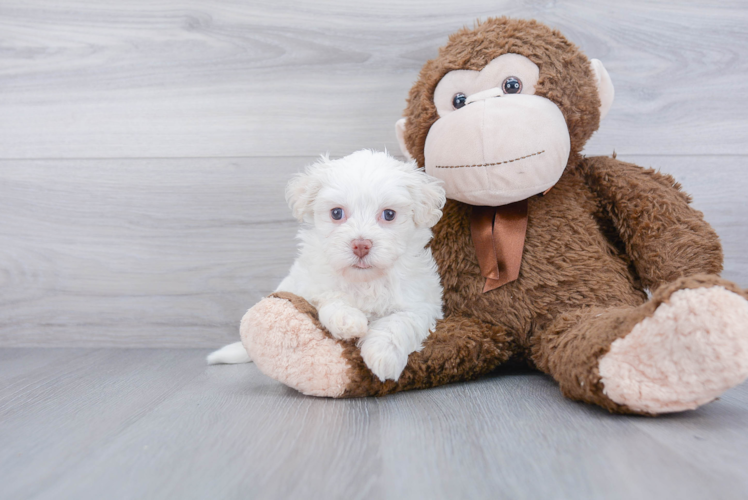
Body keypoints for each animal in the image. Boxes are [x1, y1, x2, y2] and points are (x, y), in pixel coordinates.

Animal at [206, 150, 444, 380]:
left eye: (389, 214)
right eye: (336, 213)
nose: (361, 245)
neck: (364, 281)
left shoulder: (420, 302)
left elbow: (399, 322)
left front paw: (383, 355)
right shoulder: (312, 286)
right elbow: (330, 298)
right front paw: (348, 320)